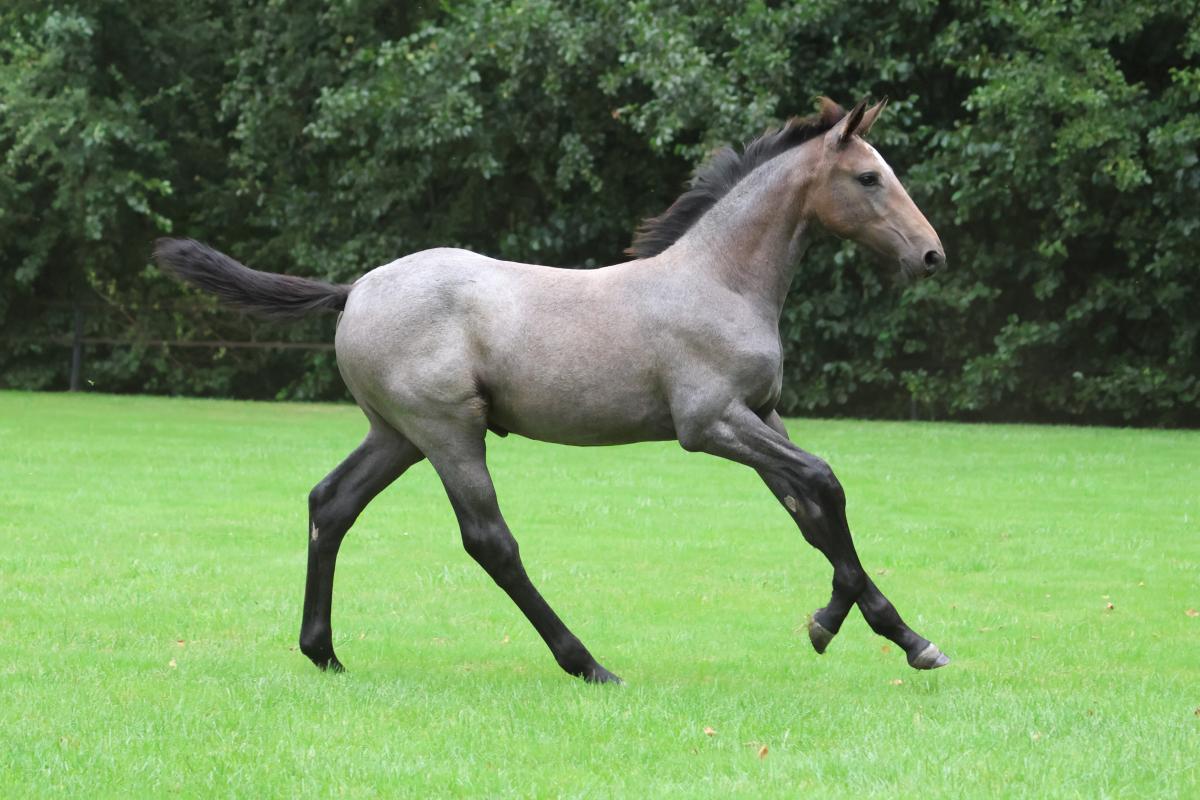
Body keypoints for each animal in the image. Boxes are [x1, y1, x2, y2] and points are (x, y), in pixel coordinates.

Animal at [155, 97, 948, 683]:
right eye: (869, 178)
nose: (932, 255)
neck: (718, 281)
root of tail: (355, 290)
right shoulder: (711, 423)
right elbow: (826, 482)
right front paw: (837, 622)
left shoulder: (761, 414)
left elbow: (810, 512)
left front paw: (900, 635)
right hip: (448, 432)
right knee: (490, 542)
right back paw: (588, 664)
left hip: (396, 436)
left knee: (331, 503)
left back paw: (323, 652)